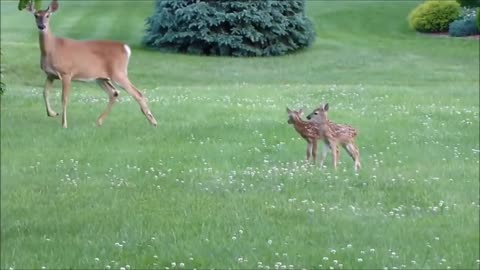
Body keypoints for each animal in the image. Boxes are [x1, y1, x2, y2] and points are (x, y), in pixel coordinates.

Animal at [25, 0, 158, 127]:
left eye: (48, 15)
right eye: (36, 15)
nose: (42, 26)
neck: (52, 48)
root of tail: (126, 48)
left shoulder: (66, 72)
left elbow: (64, 98)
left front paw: (64, 124)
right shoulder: (50, 74)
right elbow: (45, 93)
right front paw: (52, 113)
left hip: (118, 72)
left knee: (138, 93)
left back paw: (153, 122)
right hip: (101, 78)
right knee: (114, 93)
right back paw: (98, 122)